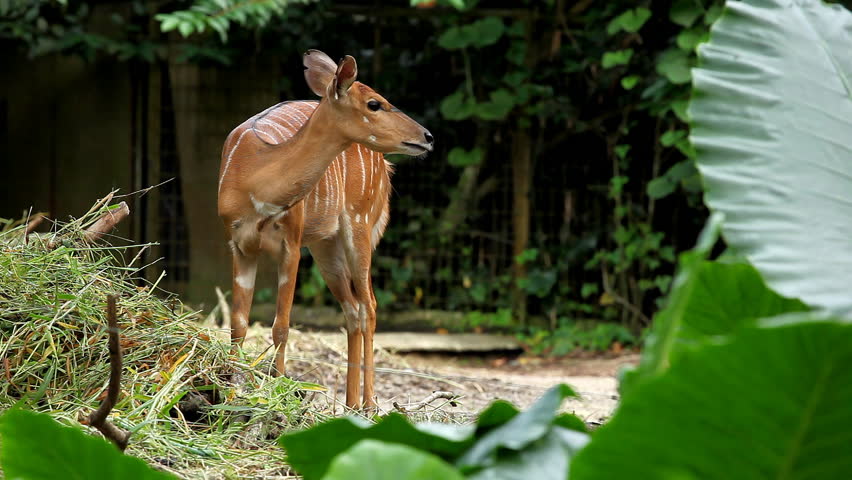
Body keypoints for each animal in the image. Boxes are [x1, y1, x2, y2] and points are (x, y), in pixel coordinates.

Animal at [217, 50, 433, 409]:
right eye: (374, 103)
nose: (427, 137)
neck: (253, 173)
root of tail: (386, 167)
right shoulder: (240, 245)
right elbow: (239, 323)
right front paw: (229, 391)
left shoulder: (290, 245)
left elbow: (281, 325)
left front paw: (279, 392)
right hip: (325, 247)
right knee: (353, 309)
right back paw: (350, 404)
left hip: (358, 226)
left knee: (369, 306)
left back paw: (370, 404)